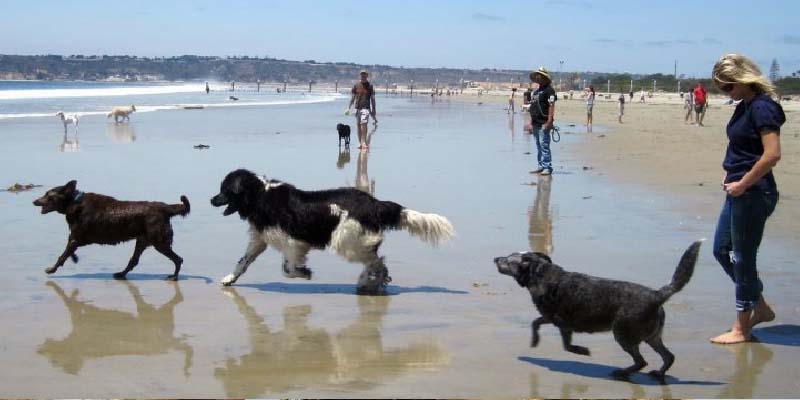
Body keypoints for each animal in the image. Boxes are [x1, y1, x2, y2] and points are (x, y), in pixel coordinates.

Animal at [33, 180, 193, 280]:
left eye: (48, 195)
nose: (34, 201)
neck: (74, 202)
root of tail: (165, 208)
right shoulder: (78, 238)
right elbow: (68, 252)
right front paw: (74, 258)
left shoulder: (77, 238)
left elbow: (63, 255)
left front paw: (51, 269)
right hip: (143, 241)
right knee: (134, 261)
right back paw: (121, 274)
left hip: (159, 242)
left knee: (178, 259)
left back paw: (174, 277)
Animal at [209, 169, 454, 294]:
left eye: (224, 190)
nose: (211, 200)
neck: (261, 195)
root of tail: (375, 203)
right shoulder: (261, 238)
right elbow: (243, 261)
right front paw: (229, 279)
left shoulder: (293, 242)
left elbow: (287, 269)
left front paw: (305, 273)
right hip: (356, 241)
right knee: (374, 260)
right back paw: (368, 282)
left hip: (347, 241)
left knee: (377, 262)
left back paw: (372, 282)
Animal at [496, 239, 704, 380]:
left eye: (507, 259)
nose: (495, 258)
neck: (541, 273)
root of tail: (656, 295)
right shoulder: (556, 320)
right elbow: (537, 324)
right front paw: (536, 340)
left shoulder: (560, 321)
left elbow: (560, 340)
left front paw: (580, 350)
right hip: (651, 336)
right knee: (668, 356)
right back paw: (659, 374)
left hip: (623, 334)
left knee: (641, 361)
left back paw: (622, 372)